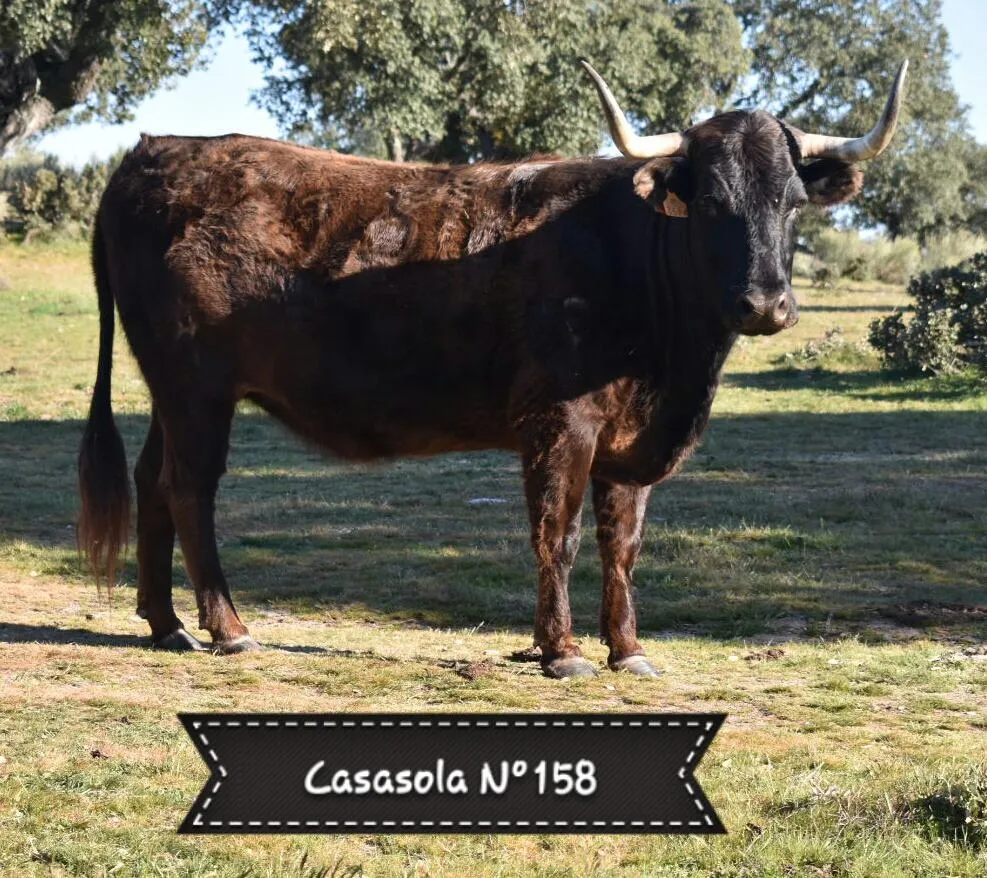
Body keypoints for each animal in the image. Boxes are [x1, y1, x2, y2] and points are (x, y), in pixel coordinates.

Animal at [78, 60, 907, 678]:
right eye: (708, 202)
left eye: (792, 202)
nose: (764, 302)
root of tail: (153, 150)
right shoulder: (560, 425)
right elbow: (556, 534)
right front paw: (561, 651)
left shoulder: (627, 443)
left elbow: (622, 544)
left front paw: (627, 649)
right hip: (196, 387)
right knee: (190, 489)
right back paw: (228, 627)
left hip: (171, 392)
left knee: (153, 481)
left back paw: (166, 624)